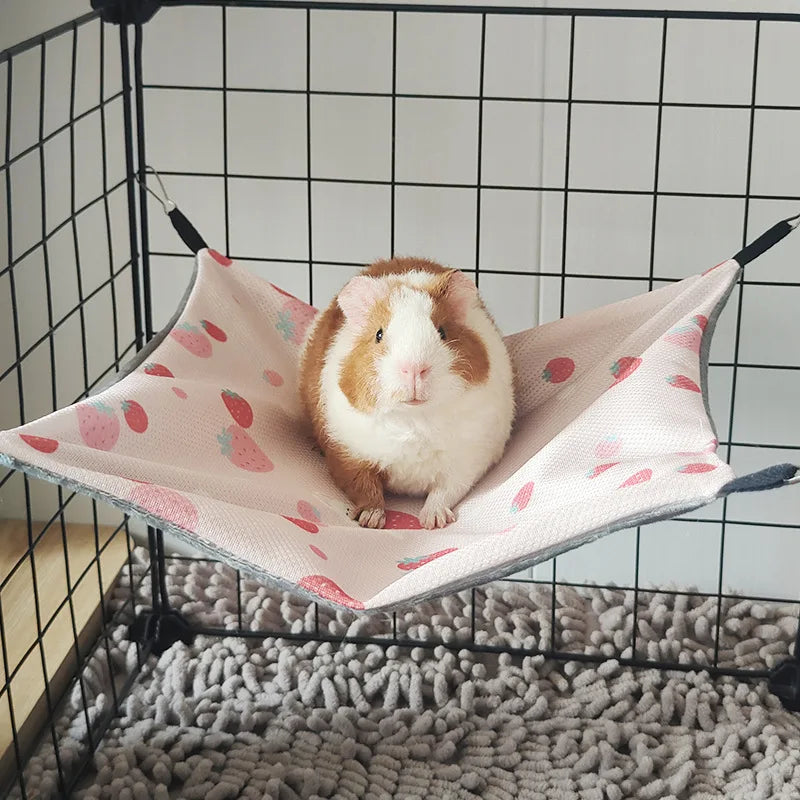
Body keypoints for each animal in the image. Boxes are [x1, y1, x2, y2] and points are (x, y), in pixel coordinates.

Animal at [299, 257, 514, 530]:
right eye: (379, 334)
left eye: (442, 331)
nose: (414, 369)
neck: (414, 419)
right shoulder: (347, 455)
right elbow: (365, 488)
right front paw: (371, 521)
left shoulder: (467, 462)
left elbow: (444, 491)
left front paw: (433, 522)